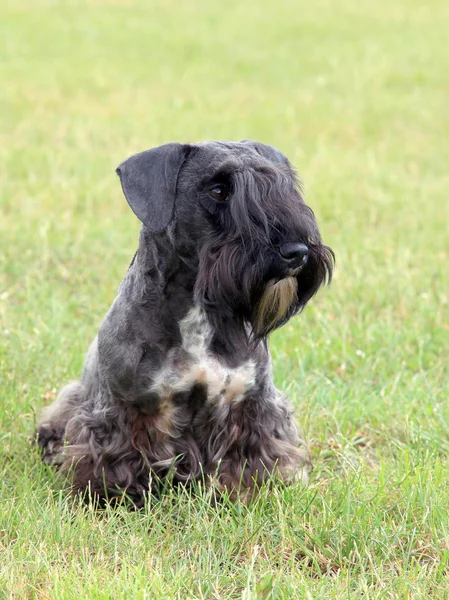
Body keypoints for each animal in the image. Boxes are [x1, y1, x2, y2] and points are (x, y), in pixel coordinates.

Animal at [36, 142, 332, 506]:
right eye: (218, 190)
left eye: (281, 185)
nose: (297, 252)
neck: (198, 313)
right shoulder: (121, 409)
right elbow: (115, 456)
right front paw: (110, 496)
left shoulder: (253, 403)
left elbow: (252, 456)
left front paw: (249, 492)